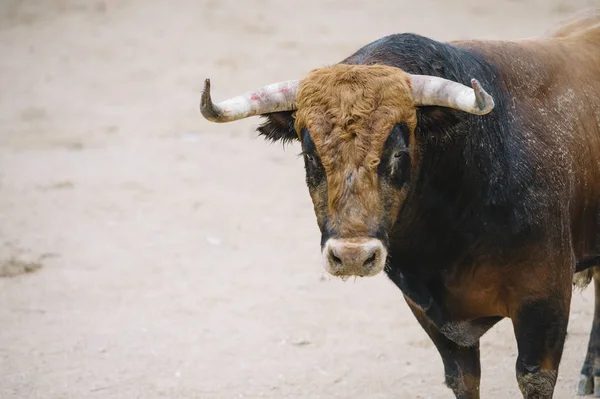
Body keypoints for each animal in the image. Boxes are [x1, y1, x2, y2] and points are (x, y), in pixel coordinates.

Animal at [200, 9, 600, 399]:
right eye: (310, 155)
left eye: (399, 153)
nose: (353, 256)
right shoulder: (428, 311)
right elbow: (463, 379)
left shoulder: (544, 302)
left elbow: (534, 379)